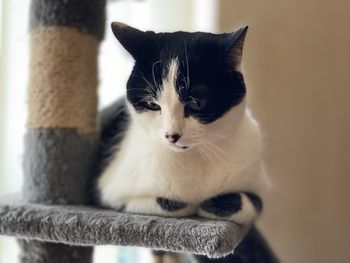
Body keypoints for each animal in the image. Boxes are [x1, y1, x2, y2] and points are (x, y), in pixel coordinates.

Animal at [97, 22, 272, 262]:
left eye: (197, 103)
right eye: (153, 105)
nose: (171, 135)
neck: (197, 157)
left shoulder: (256, 182)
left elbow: (254, 204)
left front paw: (214, 203)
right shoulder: (110, 191)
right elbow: (169, 202)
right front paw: (194, 203)